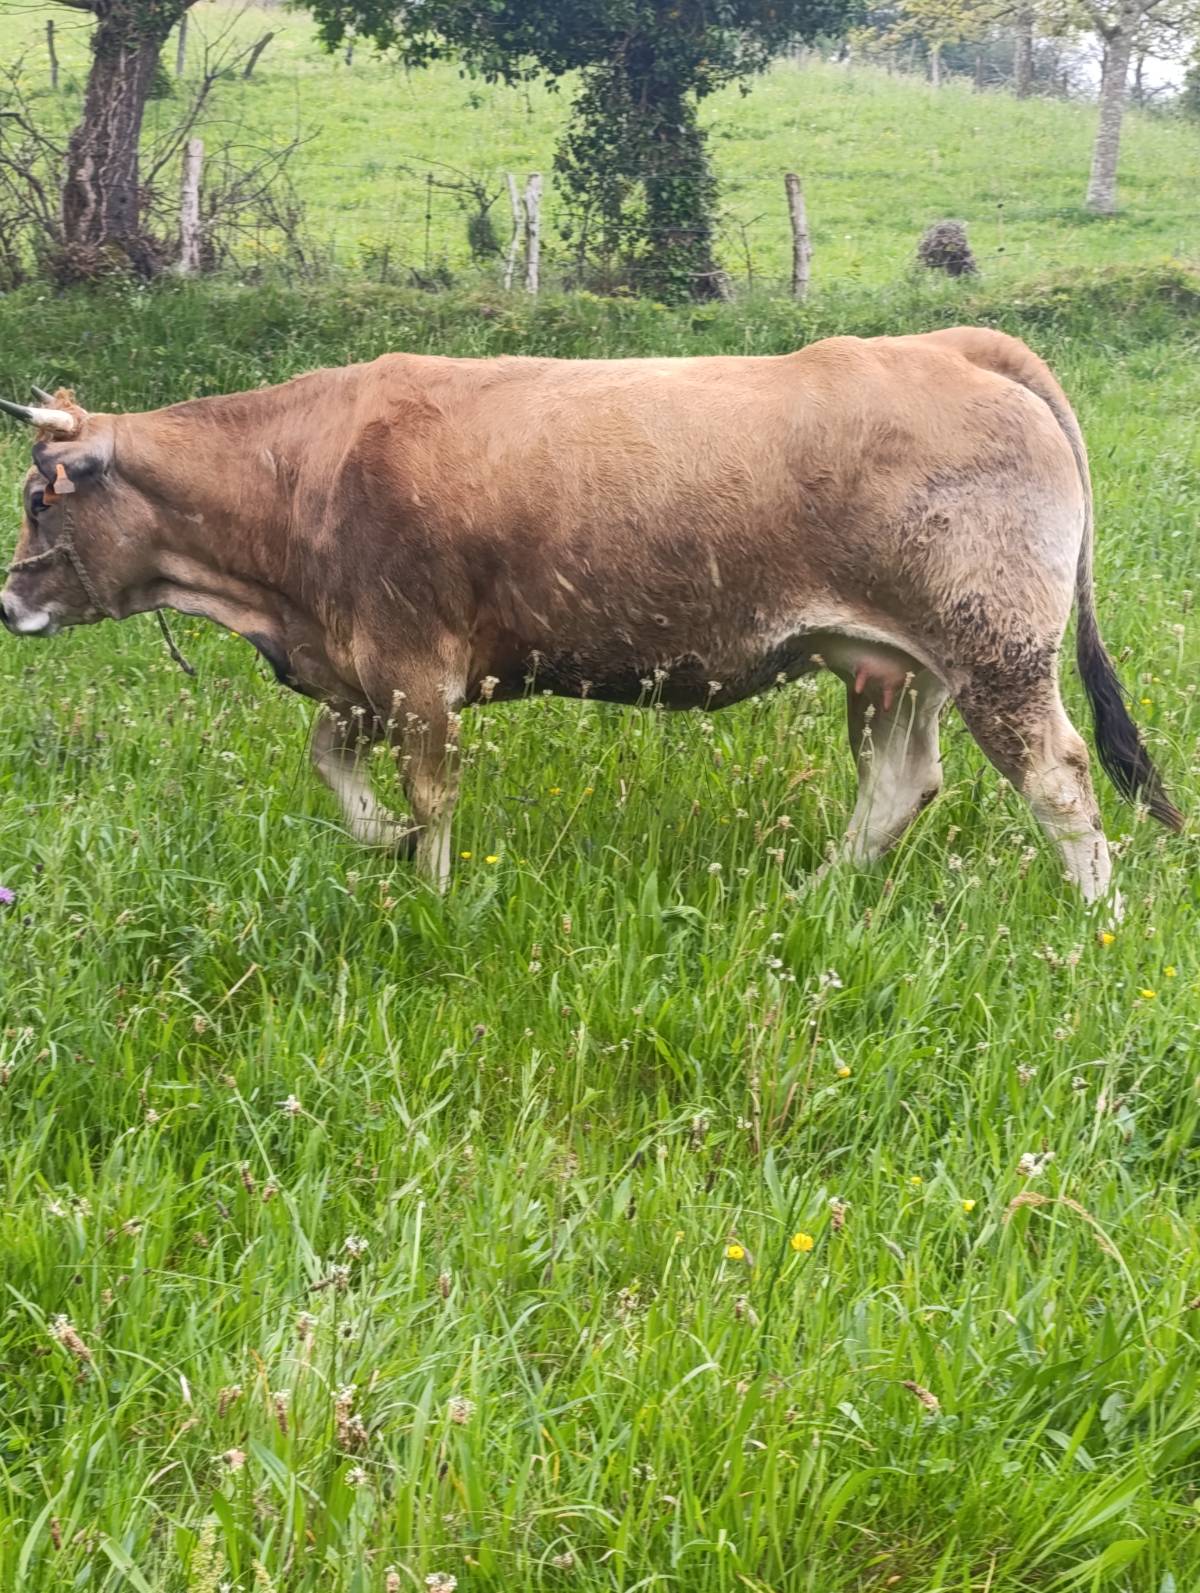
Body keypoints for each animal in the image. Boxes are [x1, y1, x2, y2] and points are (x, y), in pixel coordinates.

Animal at [0, 328, 1181, 903]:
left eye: (39, 496)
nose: (9, 597)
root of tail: (948, 343)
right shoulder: (361, 667)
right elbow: (330, 759)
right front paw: (382, 841)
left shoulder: (415, 668)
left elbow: (431, 798)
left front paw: (428, 893)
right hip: (894, 662)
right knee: (901, 784)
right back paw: (812, 896)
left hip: (996, 653)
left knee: (1058, 779)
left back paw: (1098, 923)